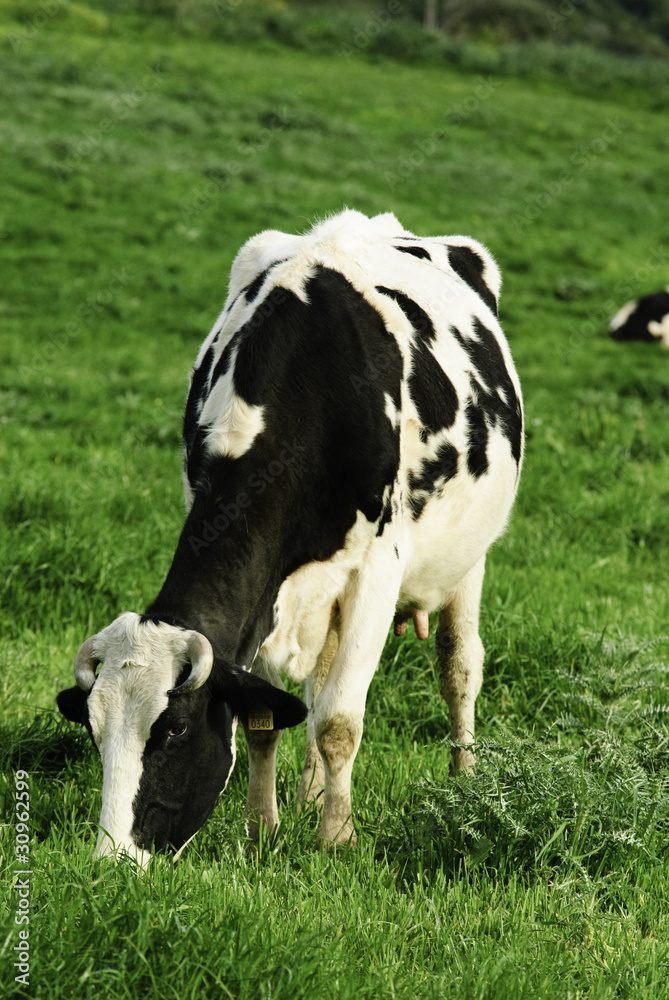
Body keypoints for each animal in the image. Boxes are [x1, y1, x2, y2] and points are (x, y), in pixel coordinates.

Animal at [56, 209, 520, 860]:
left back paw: (462, 782)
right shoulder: (270, 593)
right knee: (317, 682)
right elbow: (267, 720)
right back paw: (309, 797)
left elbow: (339, 721)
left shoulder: (378, 567)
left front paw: (337, 840)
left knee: (459, 669)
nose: (112, 859)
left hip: (468, 554)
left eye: (172, 732)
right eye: (95, 733)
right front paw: (264, 827)